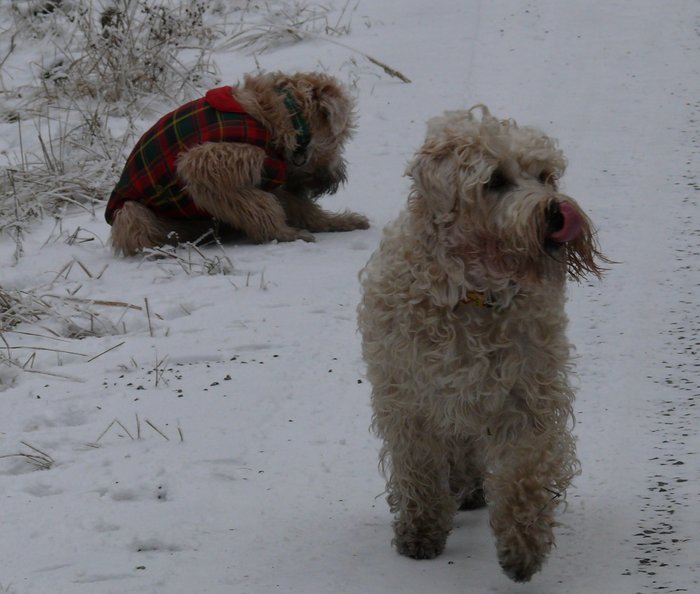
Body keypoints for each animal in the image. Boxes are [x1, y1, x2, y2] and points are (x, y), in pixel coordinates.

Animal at [106, 70, 370, 254]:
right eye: (341, 139)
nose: (336, 178)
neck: (278, 118)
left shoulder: (273, 175)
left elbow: (301, 207)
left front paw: (338, 221)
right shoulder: (207, 164)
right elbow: (262, 206)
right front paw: (284, 233)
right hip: (131, 213)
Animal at [358, 105, 604, 580]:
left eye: (545, 175)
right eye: (495, 180)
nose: (556, 211)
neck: (472, 293)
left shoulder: (526, 393)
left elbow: (524, 468)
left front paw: (523, 548)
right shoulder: (411, 399)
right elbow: (418, 468)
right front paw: (420, 532)